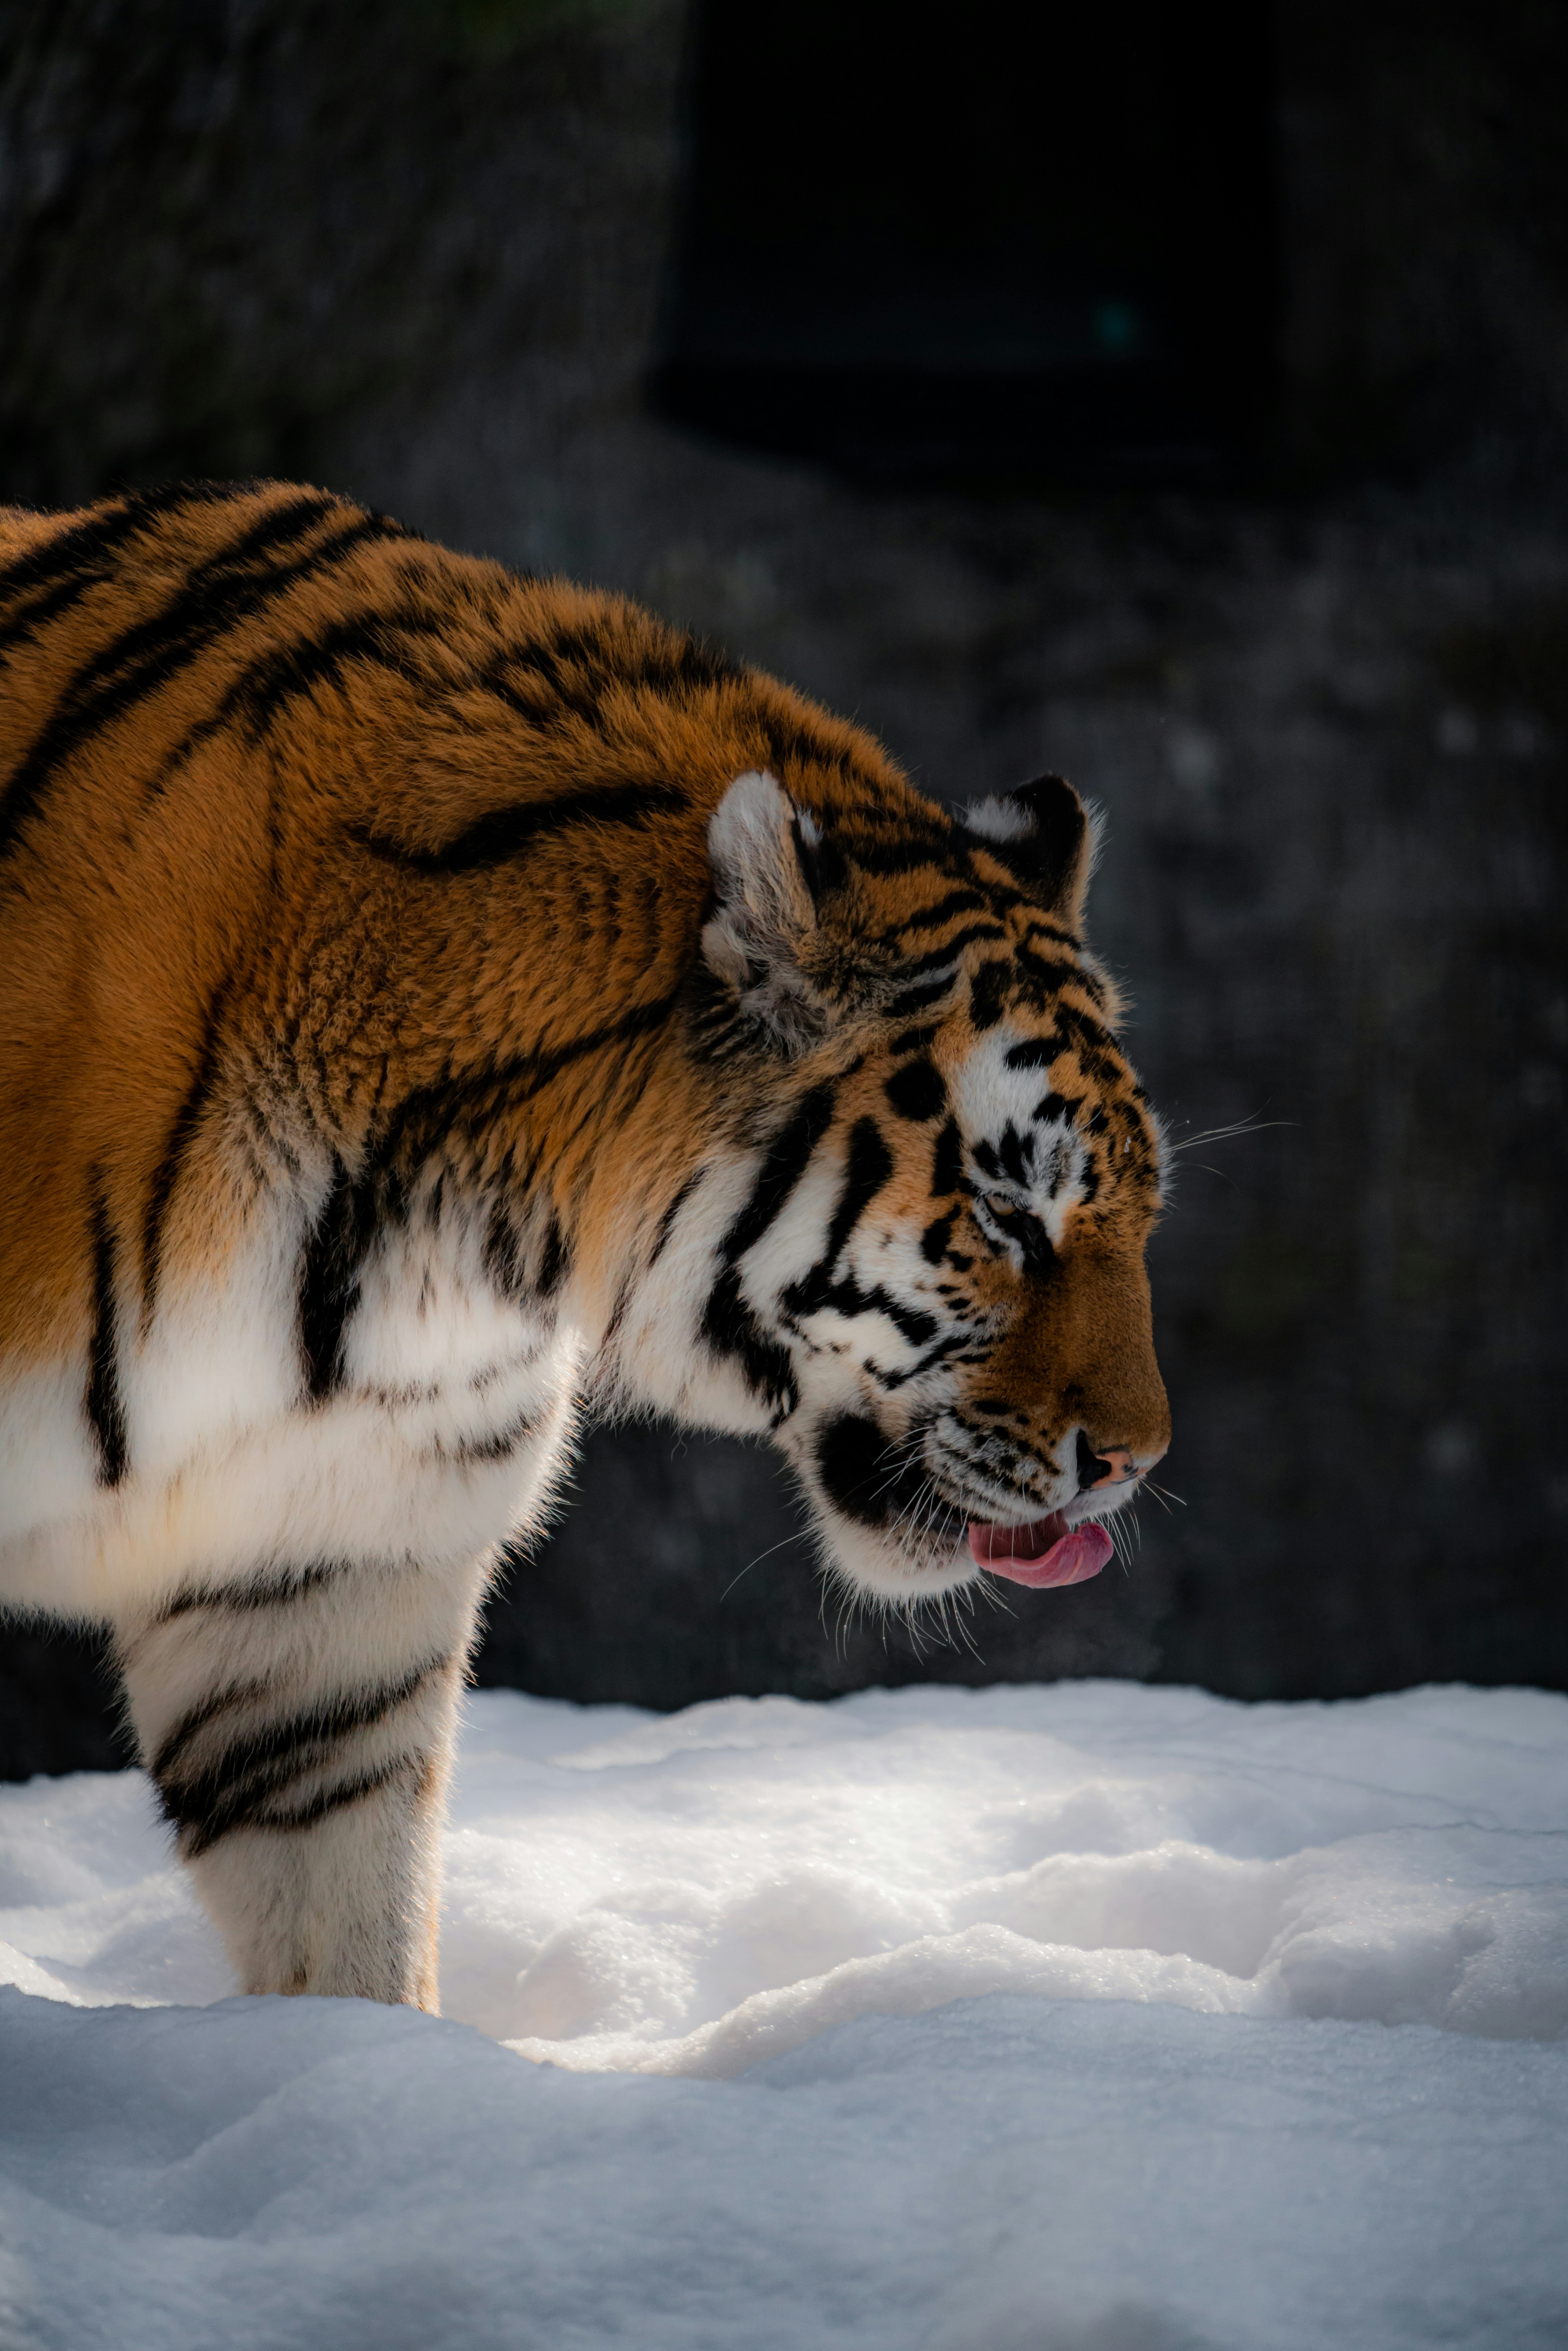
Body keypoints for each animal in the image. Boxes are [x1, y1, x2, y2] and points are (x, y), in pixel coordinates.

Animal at [0, 486, 1166, 2012]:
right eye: (1008, 1217)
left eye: (1138, 1210)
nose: (1138, 1460)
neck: (439, 1252)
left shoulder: (318, 1563)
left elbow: (349, 1927)